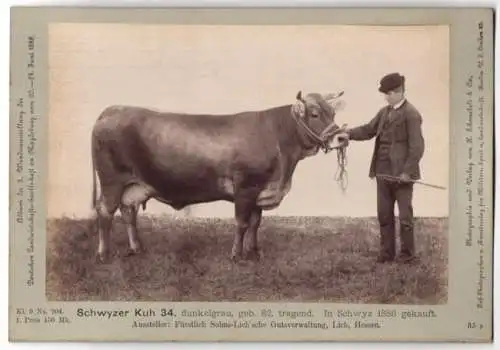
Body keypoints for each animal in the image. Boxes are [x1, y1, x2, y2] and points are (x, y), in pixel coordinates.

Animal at [92, 90, 346, 262]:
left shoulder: (260, 191)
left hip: (133, 186)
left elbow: (256, 223)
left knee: (128, 212)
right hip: (112, 181)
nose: (342, 137)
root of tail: (113, 109)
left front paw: (254, 252)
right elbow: (242, 223)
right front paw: (236, 255)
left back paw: (137, 248)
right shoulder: (246, 188)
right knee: (105, 211)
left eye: (333, 112)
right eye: (315, 114)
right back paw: (104, 253)